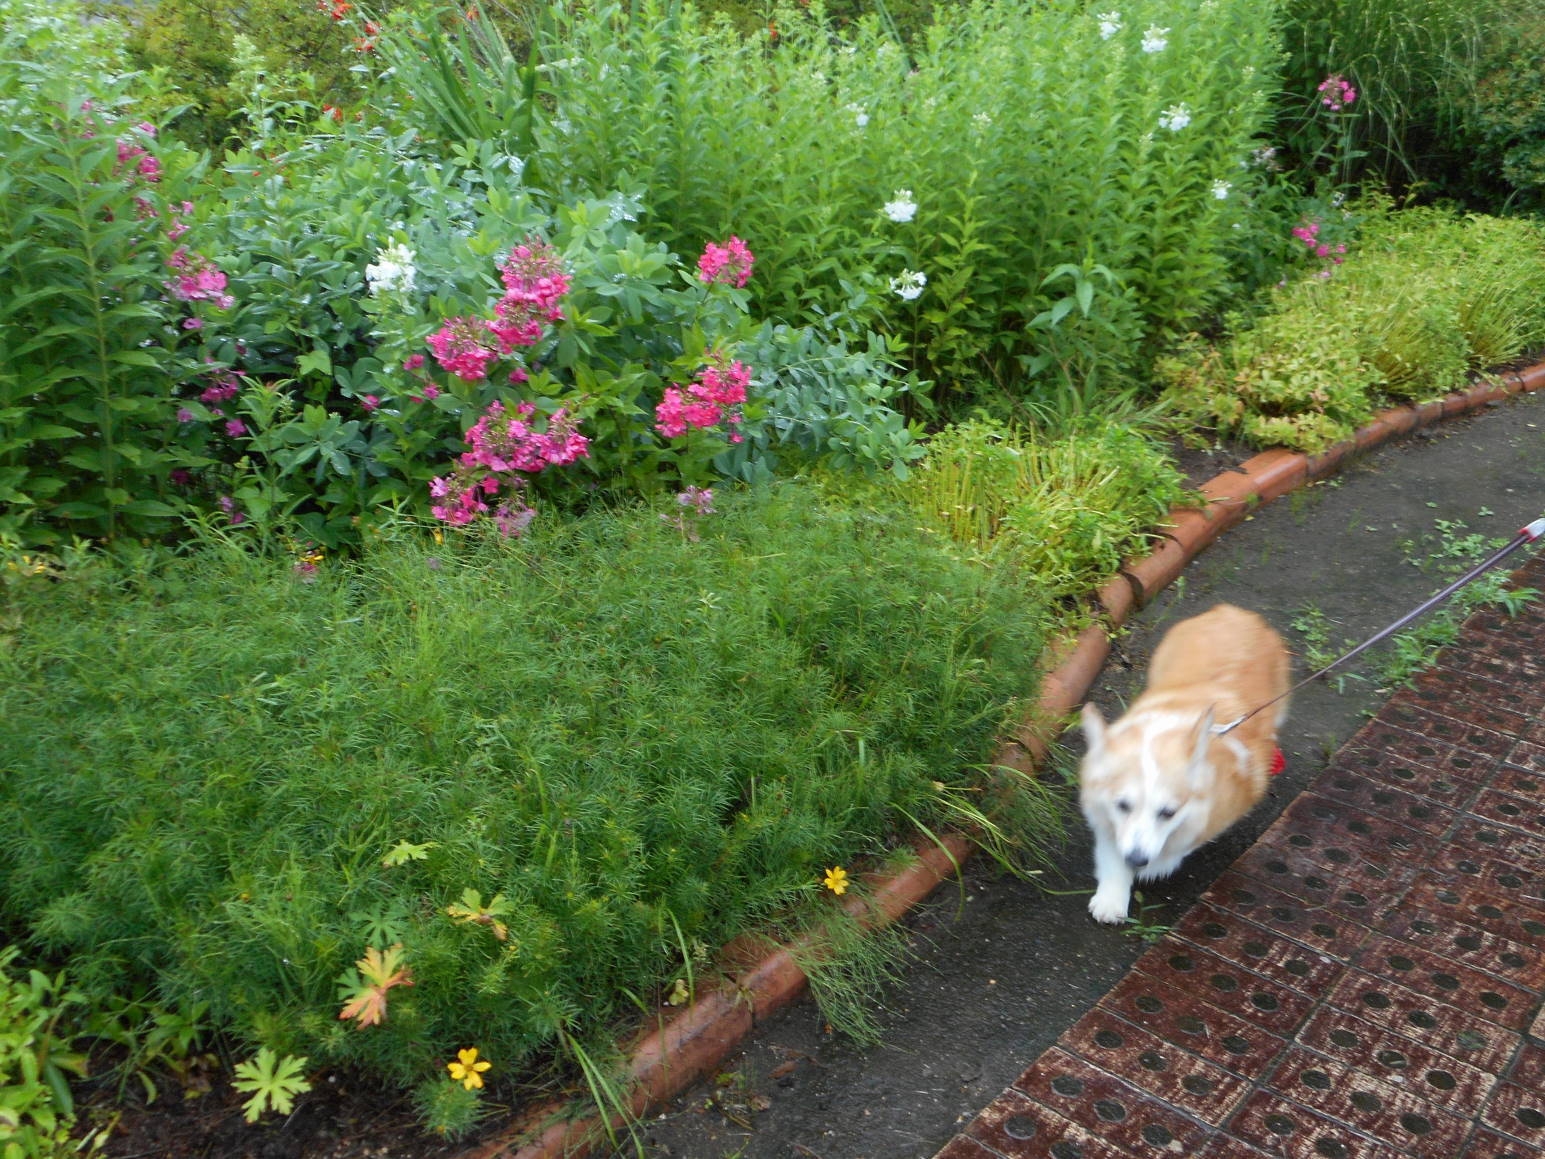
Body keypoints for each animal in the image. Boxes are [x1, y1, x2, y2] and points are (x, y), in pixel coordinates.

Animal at [1075, 608, 1291, 927]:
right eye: (1122, 805)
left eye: (1168, 813)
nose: (1137, 860)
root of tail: (1235, 612)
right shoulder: (1104, 816)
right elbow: (1112, 851)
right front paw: (1111, 899)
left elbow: (1185, 839)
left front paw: (1159, 863)